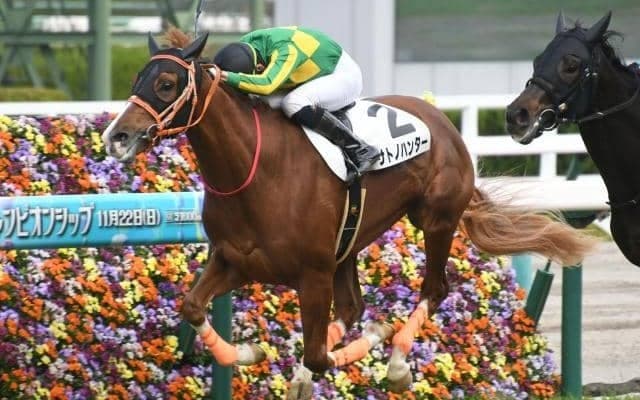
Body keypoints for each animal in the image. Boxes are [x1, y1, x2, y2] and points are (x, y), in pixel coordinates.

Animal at [102, 28, 595, 398]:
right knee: (354, 307)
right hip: (350, 242)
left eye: (166, 84)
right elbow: (191, 306)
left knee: (433, 290)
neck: (255, 170)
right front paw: (252, 355)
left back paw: (396, 362)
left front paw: (369, 350)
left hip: (434, 220)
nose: (117, 136)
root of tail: (445, 124)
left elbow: (318, 354)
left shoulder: (312, 271)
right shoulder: (234, 260)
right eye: (137, 79)